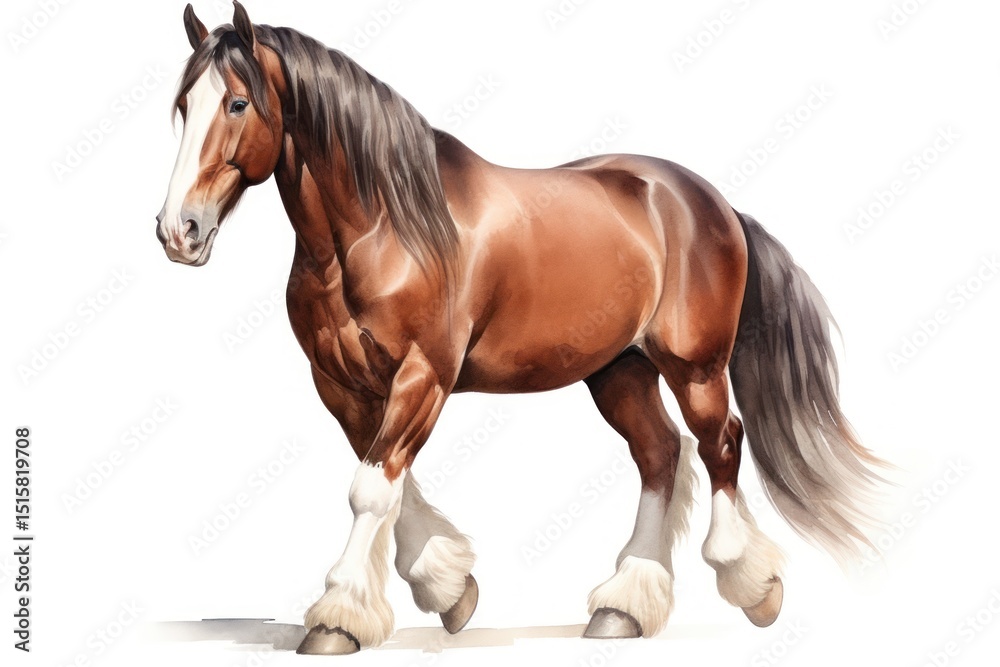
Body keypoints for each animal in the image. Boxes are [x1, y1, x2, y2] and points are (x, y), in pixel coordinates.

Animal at [156, 3, 886, 655]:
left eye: (238, 104)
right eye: (184, 107)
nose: (178, 231)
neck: (382, 229)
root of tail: (713, 203)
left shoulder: (423, 375)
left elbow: (371, 490)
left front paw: (338, 618)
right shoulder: (343, 385)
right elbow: (390, 486)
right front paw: (448, 590)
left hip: (695, 367)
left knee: (721, 444)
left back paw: (751, 585)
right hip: (619, 371)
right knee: (659, 454)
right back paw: (624, 606)